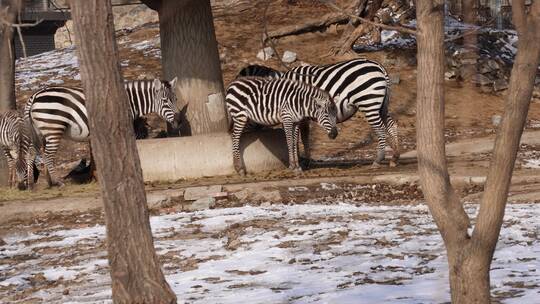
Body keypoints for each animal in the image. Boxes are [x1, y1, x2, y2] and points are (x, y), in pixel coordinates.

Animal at [19, 78, 179, 188]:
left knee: (31, 154)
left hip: (38, 132)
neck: (128, 102)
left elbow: (95, 157)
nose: (179, 120)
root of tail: (34, 96)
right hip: (53, 129)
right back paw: (57, 182)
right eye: (165, 101)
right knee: (48, 155)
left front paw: (97, 176)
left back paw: (32, 184)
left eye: (176, 99)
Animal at [238, 58, 398, 169]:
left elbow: (294, 138)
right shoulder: (302, 116)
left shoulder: (293, 114)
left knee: (381, 129)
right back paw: (395, 157)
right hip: (381, 105)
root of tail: (379, 67)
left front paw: (298, 163)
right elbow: (304, 137)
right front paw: (305, 161)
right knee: (392, 125)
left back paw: (378, 160)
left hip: (369, 103)